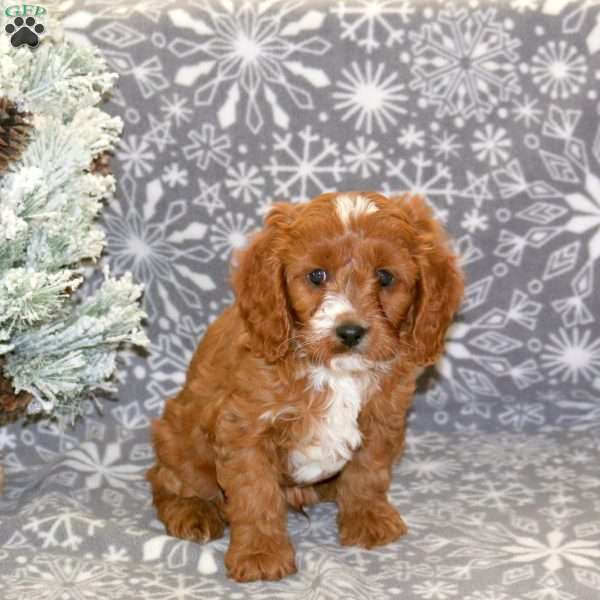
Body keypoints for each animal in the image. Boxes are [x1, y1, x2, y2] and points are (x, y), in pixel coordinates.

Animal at [146, 191, 464, 580]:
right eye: (317, 275)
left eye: (385, 277)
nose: (350, 331)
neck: (335, 372)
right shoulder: (245, 428)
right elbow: (255, 493)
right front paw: (261, 554)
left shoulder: (382, 418)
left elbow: (368, 473)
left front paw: (369, 520)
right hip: (179, 437)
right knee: (165, 479)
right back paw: (193, 512)